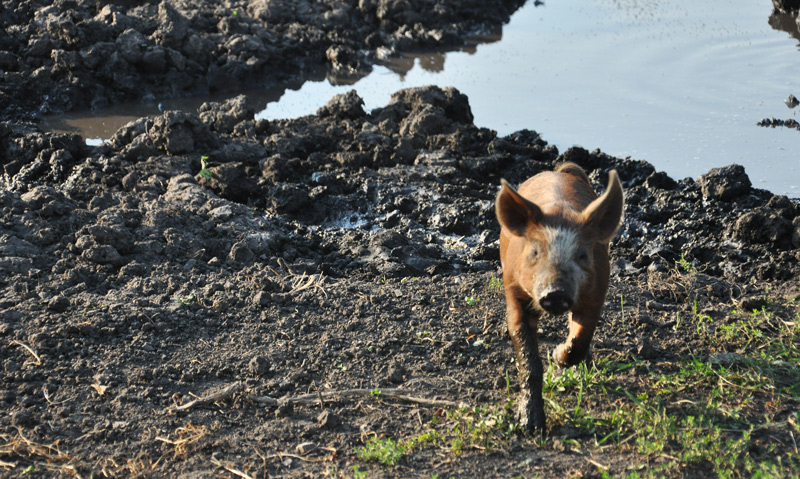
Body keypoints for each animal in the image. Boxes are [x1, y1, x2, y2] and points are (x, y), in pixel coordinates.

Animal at [495, 162, 624, 434]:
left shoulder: (596, 292)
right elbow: (528, 358)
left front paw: (556, 356)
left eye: (582, 255)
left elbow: (580, 338)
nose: (556, 292)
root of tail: (559, 171)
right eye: (535, 251)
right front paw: (530, 427)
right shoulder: (513, 290)